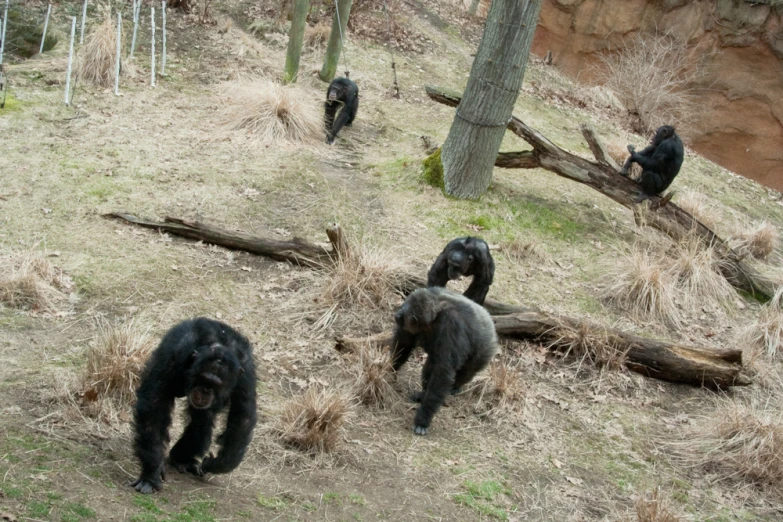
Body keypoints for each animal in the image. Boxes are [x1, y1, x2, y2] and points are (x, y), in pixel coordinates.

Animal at [131, 316, 258, 492]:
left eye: (216, 384)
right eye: (204, 379)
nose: (205, 390)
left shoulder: (245, 372)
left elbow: (242, 416)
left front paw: (218, 463)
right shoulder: (175, 352)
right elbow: (154, 401)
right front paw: (151, 473)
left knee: (203, 418)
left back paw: (182, 459)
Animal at [390, 286, 496, 432]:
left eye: (405, 308)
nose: (398, 312)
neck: (434, 316)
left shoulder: (452, 325)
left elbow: (443, 371)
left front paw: (423, 419)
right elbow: (404, 343)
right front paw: (388, 370)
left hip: (485, 351)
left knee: (466, 372)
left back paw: (455, 387)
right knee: (431, 365)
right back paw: (422, 394)